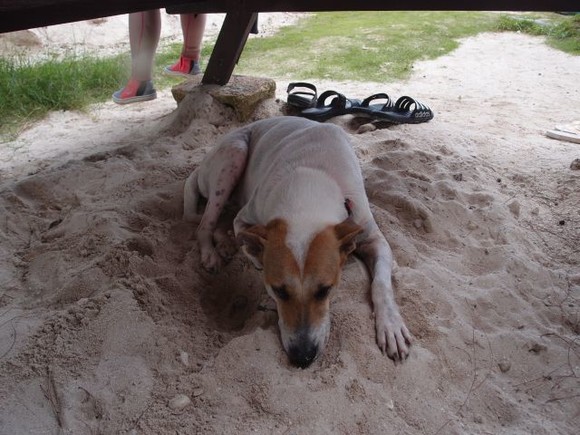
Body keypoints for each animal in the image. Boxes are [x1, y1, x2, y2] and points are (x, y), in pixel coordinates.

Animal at [184, 116, 410, 368]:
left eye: (325, 290)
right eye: (279, 291)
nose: (302, 357)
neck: (309, 185)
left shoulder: (373, 238)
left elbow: (381, 283)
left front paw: (391, 326)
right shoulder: (243, 218)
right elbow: (247, 243)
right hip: (233, 155)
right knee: (205, 224)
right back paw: (211, 253)